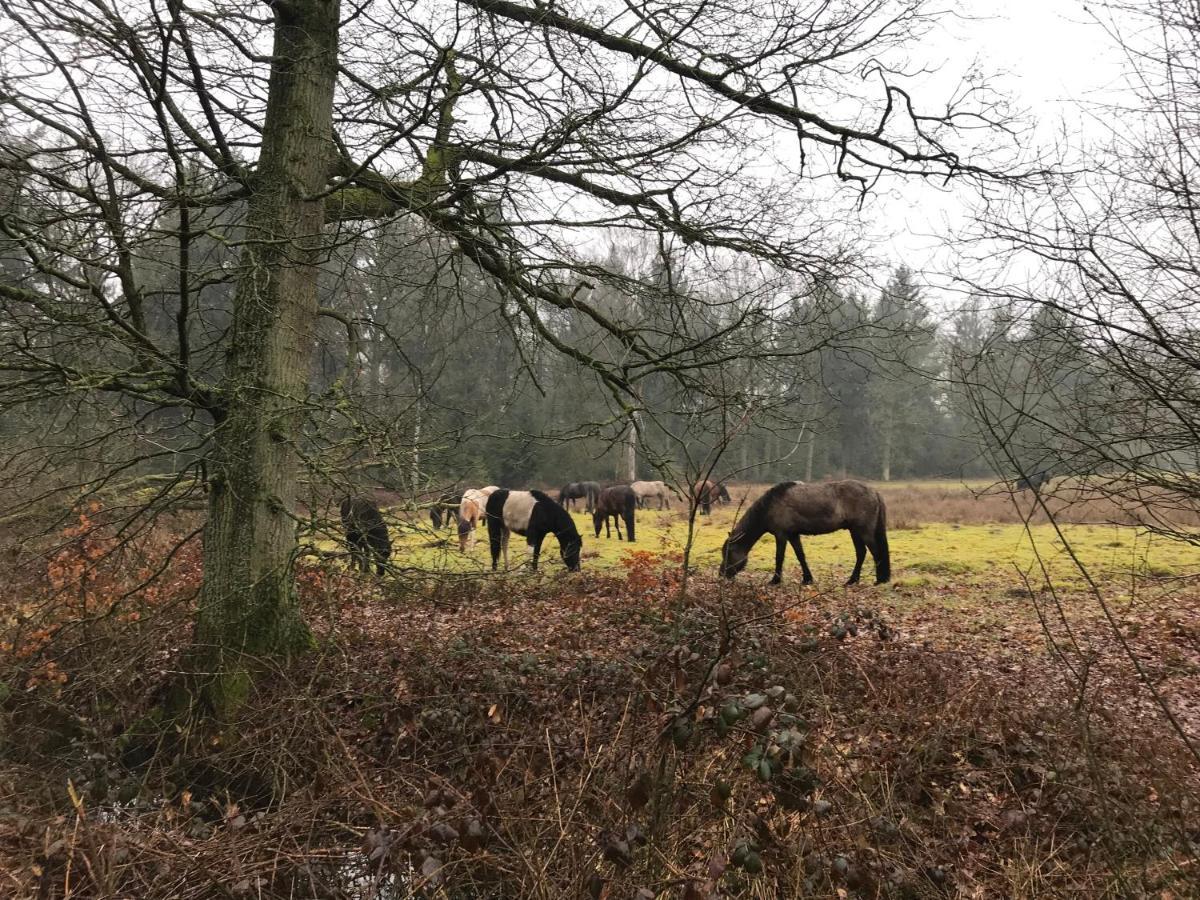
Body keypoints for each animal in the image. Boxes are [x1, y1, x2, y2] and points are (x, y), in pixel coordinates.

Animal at [715, 482, 888, 588]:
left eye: (729, 552)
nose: (721, 574)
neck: (771, 505)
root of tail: (874, 492)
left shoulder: (781, 535)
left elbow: (779, 557)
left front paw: (775, 580)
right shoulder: (793, 535)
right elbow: (801, 556)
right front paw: (807, 579)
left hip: (863, 531)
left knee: (875, 552)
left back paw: (879, 580)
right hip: (854, 531)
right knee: (861, 553)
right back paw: (852, 581)